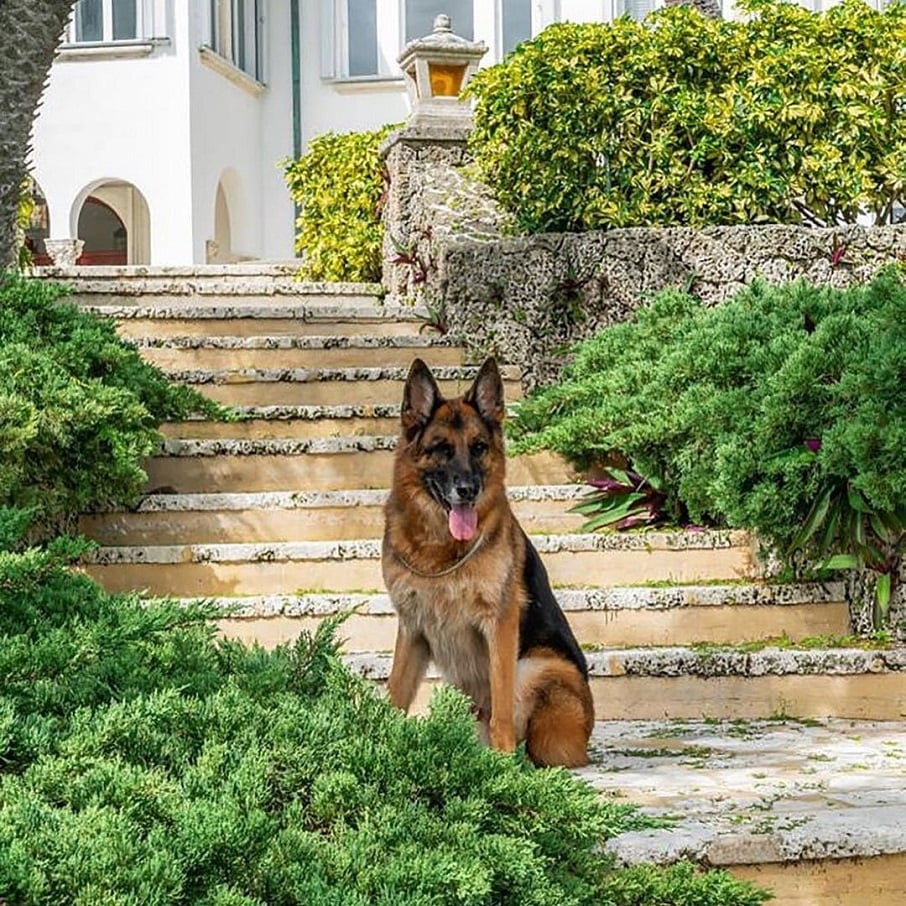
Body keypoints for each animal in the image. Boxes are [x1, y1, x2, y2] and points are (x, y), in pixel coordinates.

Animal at [380, 356, 592, 768]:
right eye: (441, 449)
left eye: (478, 447)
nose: (468, 490)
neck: (439, 549)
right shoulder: (412, 628)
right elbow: (395, 692)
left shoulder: (500, 623)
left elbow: (502, 708)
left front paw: (503, 762)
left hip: (536, 665)